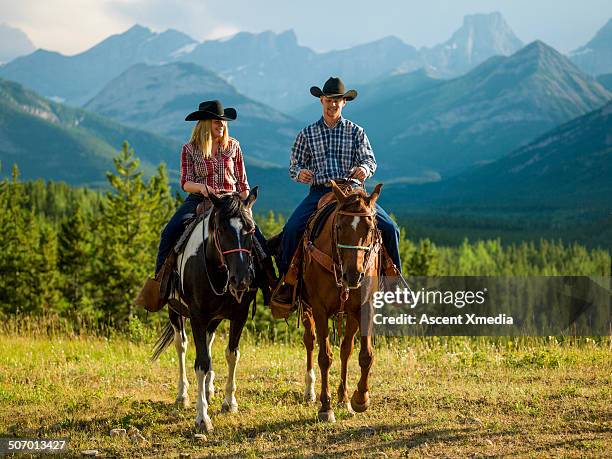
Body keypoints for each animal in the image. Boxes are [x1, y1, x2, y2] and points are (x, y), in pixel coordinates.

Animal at [154, 189, 260, 434]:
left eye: (250, 230)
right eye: (221, 229)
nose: (241, 280)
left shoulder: (239, 315)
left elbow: (232, 355)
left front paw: (229, 403)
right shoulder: (197, 317)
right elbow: (201, 363)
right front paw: (202, 417)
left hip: (214, 319)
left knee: (210, 344)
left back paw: (210, 390)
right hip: (175, 312)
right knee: (181, 345)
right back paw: (182, 395)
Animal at [298, 181, 380, 424]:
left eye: (370, 228)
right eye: (340, 226)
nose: (352, 275)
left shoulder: (364, 307)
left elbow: (365, 355)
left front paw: (360, 398)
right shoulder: (319, 309)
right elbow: (325, 357)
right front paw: (326, 407)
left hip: (350, 315)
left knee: (346, 350)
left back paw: (343, 397)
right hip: (307, 309)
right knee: (310, 341)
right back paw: (310, 391)